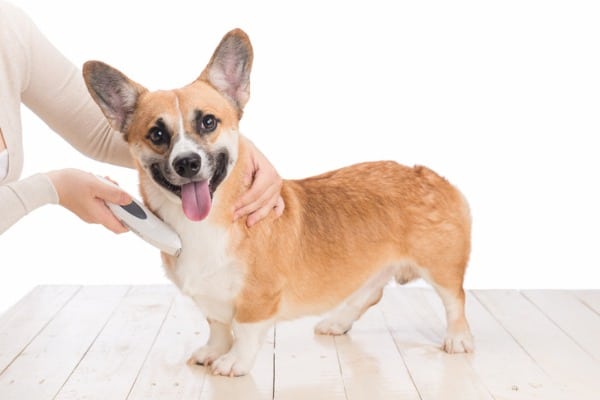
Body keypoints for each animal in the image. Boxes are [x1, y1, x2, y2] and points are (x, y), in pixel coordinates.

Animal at [83, 28, 474, 378]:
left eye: (208, 122)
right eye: (157, 134)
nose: (187, 163)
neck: (206, 223)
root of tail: (426, 173)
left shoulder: (258, 297)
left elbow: (243, 329)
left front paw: (233, 363)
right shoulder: (211, 300)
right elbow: (217, 326)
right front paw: (212, 351)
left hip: (440, 266)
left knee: (455, 299)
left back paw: (457, 339)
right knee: (371, 293)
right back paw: (337, 322)